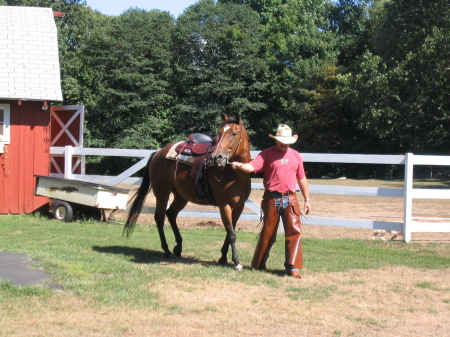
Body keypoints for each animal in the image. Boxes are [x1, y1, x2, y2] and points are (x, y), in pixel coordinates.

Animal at [125, 114, 251, 270]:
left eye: (234, 133)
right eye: (220, 133)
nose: (217, 157)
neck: (234, 175)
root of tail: (158, 153)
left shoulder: (239, 207)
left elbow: (230, 232)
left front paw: (223, 258)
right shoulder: (224, 206)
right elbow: (231, 233)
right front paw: (236, 262)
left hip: (181, 196)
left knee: (171, 214)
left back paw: (178, 247)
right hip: (162, 194)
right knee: (159, 218)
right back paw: (167, 250)